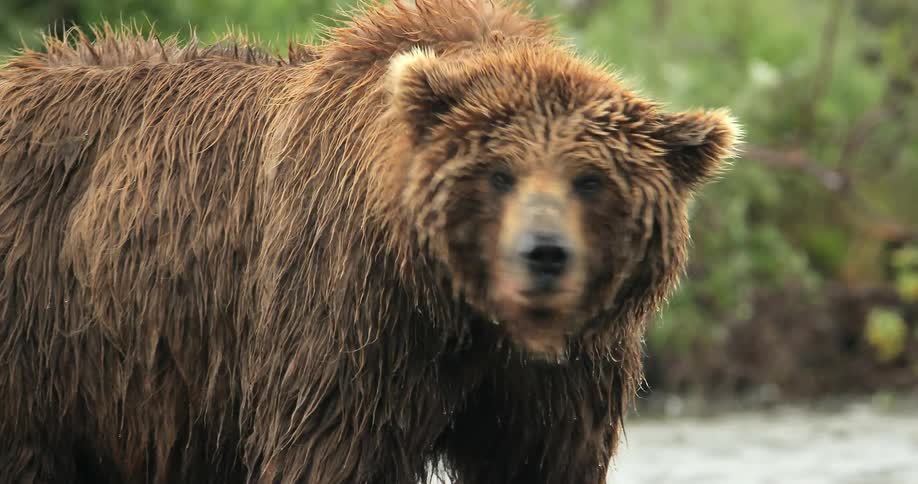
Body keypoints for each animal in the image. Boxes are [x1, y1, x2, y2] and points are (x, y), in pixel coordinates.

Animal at [0, 1, 740, 483]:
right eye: (499, 173)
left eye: (590, 180)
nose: (544, 256)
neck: (464, 317)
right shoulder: (349, 322)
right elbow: (330, 449)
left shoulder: (555, 382)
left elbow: (543, 457)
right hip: (52, 334)